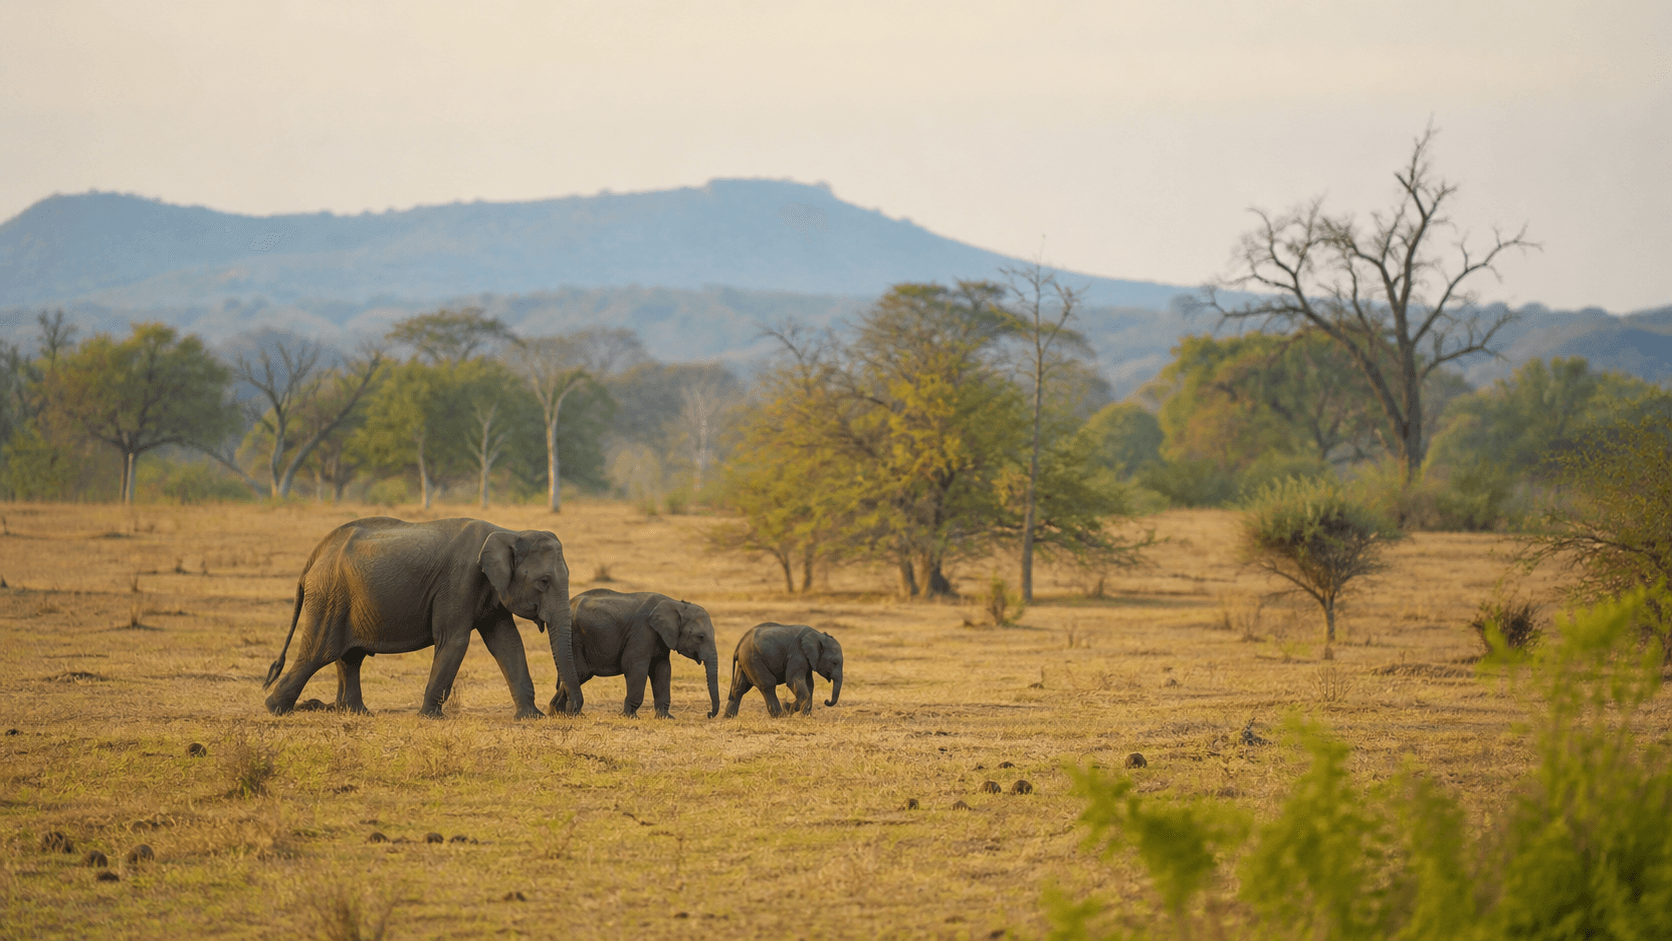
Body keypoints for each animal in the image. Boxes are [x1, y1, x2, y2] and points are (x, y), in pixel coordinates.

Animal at [262, 517, 584, 718]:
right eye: (544, 582)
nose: (566, 709)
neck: (510, 532)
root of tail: (317, 553)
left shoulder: (492, 589)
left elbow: (508, 643)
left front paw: (532, 717)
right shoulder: (460, 580)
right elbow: (454, 641)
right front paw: (430, 717)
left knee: (349, 656)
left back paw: (358, 713)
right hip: (330, 595)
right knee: (320, 652)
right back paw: (274, 707)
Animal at [547, 589, 720, 718]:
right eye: (700, 637)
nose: (709, 714)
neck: (677, 604)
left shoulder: (661, 637)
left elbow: (662, 670)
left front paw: (666, 717)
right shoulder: (642, 631)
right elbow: (636, 667)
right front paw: (631, 717)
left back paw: (557, 713)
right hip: (574, 640)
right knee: (580, 673)